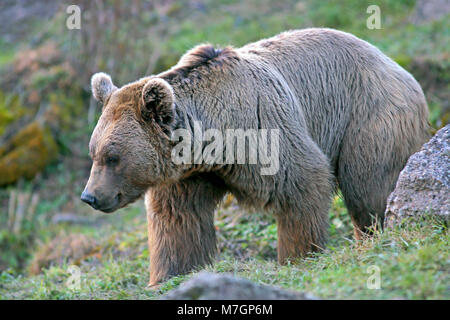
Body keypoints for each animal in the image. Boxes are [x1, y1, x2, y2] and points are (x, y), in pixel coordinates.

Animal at [81, 28, 428, 286]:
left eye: (113, 157)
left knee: (369, 189)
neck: (214, 141)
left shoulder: (266, 131)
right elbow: (178, 220)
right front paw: (170, 274)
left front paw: (298, 257)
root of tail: (397, 67)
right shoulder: (188, 173)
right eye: (94, 152)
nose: (90, 196)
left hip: (368, 118)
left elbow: (303, 185)